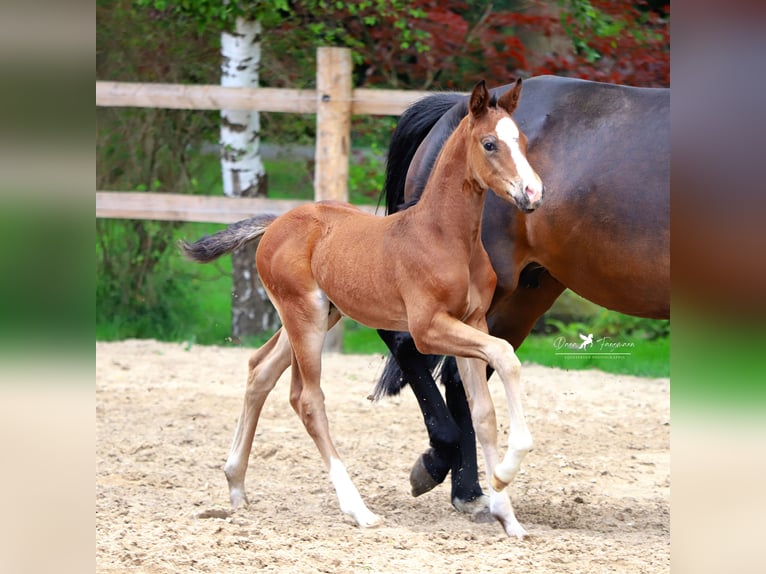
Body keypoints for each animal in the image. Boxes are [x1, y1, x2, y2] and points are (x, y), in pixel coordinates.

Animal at [181, 79, 544, 536]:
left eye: (524, 141)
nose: (533, 193)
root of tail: (277, 222)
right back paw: (358, 509)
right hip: (305, 318)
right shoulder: (428, 328)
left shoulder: (473, 320)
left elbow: (483, 412)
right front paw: (508, 469)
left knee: (260, 370)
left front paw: (506, 513)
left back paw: (235, 485)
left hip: (317, 315)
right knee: (308, 400)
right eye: (490, 143)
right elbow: (506, 355)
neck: (444, 236)